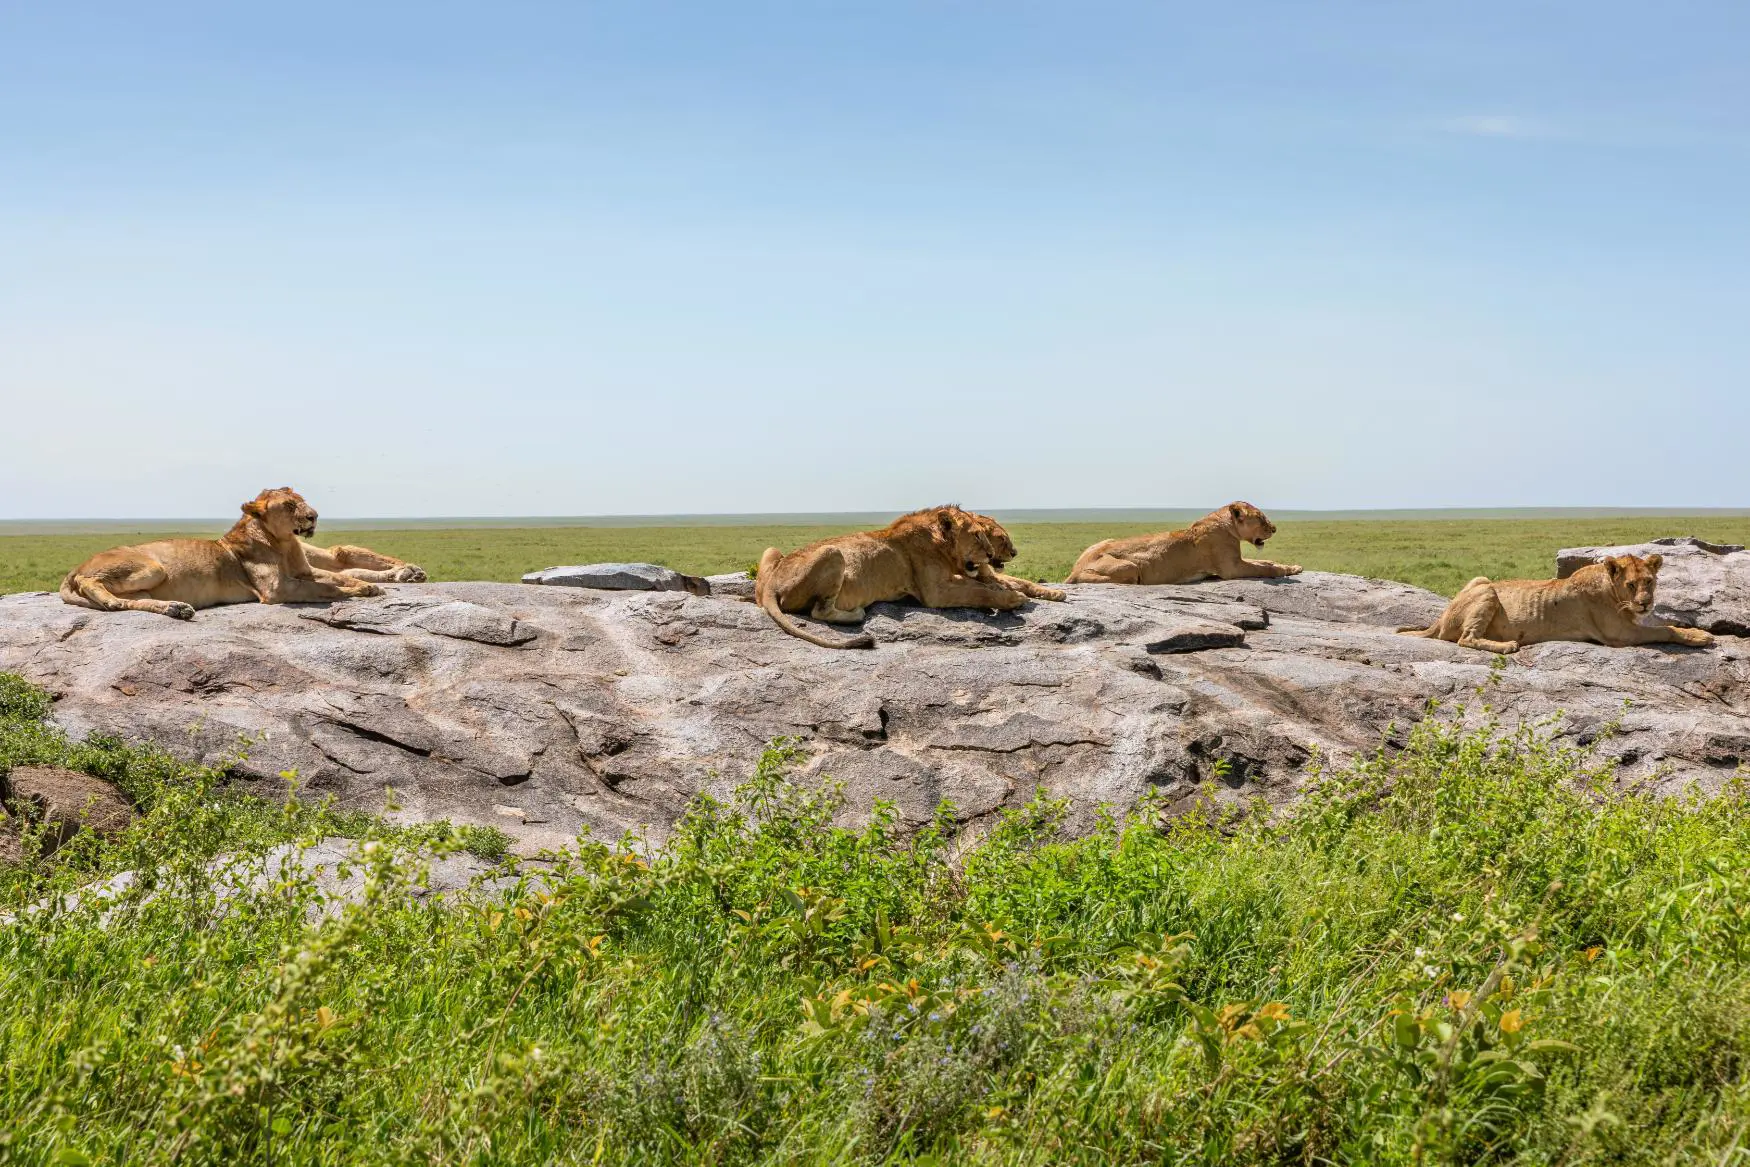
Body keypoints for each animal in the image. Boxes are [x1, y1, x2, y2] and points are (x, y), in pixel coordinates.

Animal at [60, 487, 395, 620]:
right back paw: (110, 600)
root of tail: (76, 567)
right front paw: (355, 592)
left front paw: (369, 587)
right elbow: (324, 587)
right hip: (152, 567)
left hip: (148, 585)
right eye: (289, 505)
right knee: (92, 582)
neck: (284, 542)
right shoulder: (277, 588)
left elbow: (333, 576)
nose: (314, 516)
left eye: (302, 499)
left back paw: (175, 609)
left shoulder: (304, 571)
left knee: (134, 601)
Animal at [755, 505, 1032, 649]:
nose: (991, 554)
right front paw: (1013, 598)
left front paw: (1005, 588)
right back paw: (857, 614)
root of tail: (771, 587)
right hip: (832, 552)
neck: (941, 546)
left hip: (771, 551)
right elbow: (977, 591)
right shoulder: (935, 592)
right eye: (976, 535)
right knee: (819, 612)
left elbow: (981, 584)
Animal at [1065, 501, 1302, 585]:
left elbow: (1264, 561)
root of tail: (1075, 568)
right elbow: (1264, 568)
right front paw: (1283, 571)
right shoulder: (1231, 568)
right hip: (1129, 567)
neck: (1227, 525)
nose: (1274, 528)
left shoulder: (1238, 560)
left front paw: (1293, 567)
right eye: (1261, 518)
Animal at [1396, 553, 1712, 653]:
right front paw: (1700, 636)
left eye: (1649, 581)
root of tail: (1439, 618)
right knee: (1466, 638)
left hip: (1479, 580)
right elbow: (1664, 629)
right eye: (1631, 585)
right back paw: (1507, 646)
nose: (1645, 604)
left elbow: (1664, 623)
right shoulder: (1620, 635)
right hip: (1487, 590)